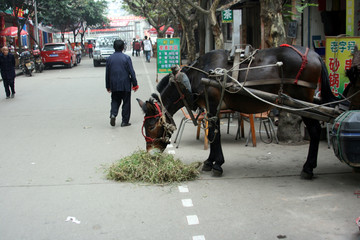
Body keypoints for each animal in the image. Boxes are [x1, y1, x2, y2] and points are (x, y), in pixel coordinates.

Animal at [137, 45, 360, 180]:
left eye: (150, 125)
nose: (150, 154)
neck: (193, 78)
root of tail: (313, 54)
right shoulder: (210, 107)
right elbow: (213, 133)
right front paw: (210, 161)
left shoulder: (213, 104)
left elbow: (214, 132)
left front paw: (216, 165)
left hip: (302, 101)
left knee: (314, 131)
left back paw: (308, 168)